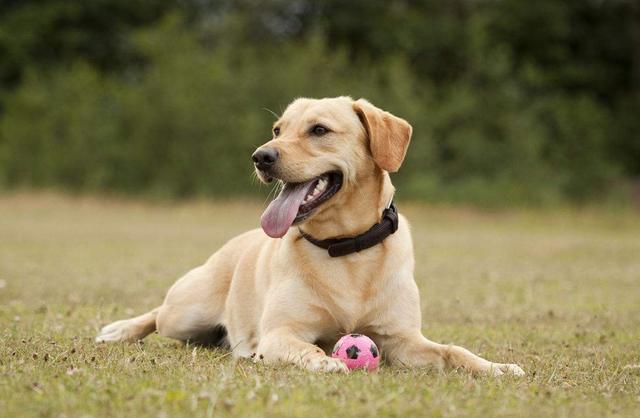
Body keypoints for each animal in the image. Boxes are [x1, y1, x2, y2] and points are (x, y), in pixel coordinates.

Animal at [96, 97, 524, 376]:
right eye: (277, 130)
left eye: (319, 130)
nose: (260, 156)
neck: (347, 251)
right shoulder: (280, 334)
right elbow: (308, 349)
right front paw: (328, 362)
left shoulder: (403, 340)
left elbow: (455, 351)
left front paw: (496, 366)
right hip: (186, 312)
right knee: (157, 315)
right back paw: (120, 330)